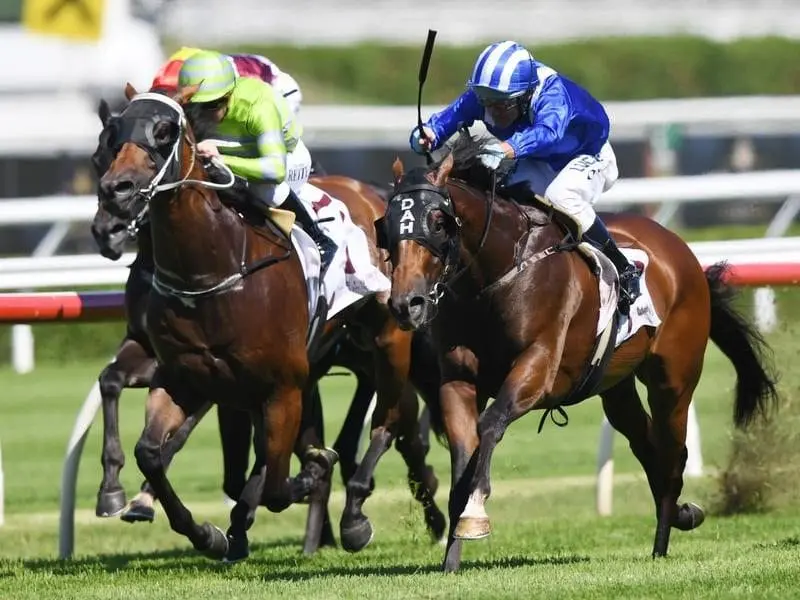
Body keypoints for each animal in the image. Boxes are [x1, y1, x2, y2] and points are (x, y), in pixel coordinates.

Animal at [95, 84, 444, 564]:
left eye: (165, 132)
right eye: (111, 140)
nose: (115, 195)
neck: (212, 269)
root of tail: (372, 193)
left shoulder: (281, 387)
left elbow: (278, 482)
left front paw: (306, 478)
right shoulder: (188, 378)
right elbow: (150, 449)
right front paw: (206, 532)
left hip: (388, 342)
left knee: (391, 421)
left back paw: (363, 518)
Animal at [378, 136, 780, 572]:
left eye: (437, 221)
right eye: (386, 226)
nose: (407, 304)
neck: (496, 274)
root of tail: (682, 252)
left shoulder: (537, 367)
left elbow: (490, 424)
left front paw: (475, 511)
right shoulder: (457, 380)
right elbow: (463, 450)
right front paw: (453, 553)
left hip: (673, 380)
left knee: (673, 454)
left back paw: (662, 544)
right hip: (616, 386)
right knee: (647, 445)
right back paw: (682, 515)